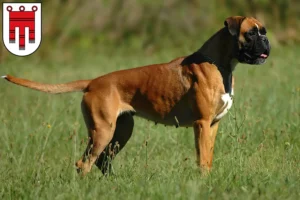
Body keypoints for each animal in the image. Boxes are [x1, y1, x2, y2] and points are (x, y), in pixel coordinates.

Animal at [1, 16, 270, 175]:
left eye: (263, 32)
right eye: (251, 33)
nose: (267, 40)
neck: (219, 62)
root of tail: (93, 82)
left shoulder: (212, 126)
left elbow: (208, 158)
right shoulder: (202, 124)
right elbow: (202, 159)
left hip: (121, 131)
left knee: (102, 161)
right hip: (102, 132)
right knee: (84, 163)